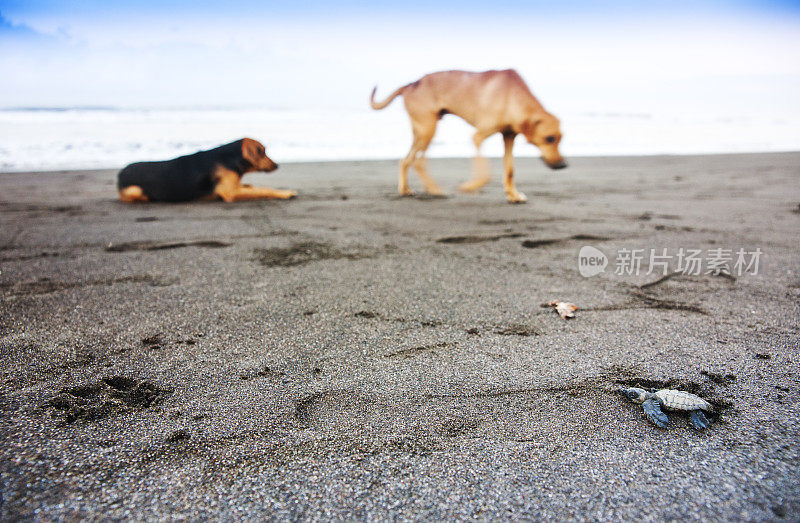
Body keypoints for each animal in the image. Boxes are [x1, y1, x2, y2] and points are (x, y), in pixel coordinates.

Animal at [117, 138, 296, 204]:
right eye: (262, 151)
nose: (277, 165)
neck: (230, 159)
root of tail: (120, 172)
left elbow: (250, 187)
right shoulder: (229, 193)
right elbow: (263, 189)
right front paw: (286, 193)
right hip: (135, 189)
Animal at [372, 67, 564, 203]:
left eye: (561, 139)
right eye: (549, 138)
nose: (563, 165)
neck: (512, 96)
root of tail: (411, 84)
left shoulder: (509, 137)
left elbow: (510, 170)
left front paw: (513, 195)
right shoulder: (478, 137)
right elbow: (485, 172)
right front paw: (471, 186)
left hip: (421, 131)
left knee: (407, 161)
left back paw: (405, 190)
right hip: (428, 129)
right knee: (417, 162)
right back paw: (435, 190)